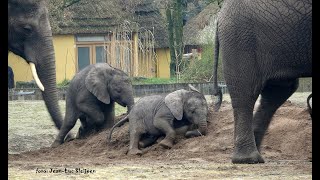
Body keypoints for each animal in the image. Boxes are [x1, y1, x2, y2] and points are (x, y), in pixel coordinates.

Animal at [211, 0, 312, 164]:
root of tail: (219, 17)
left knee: (278, 91)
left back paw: (256, 156)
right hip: (241, 38)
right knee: (247, 92)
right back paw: (248, 159)